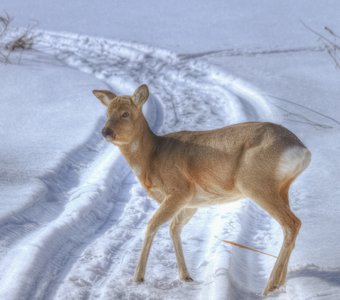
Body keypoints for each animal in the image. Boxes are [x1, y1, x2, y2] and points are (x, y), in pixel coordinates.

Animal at [93, 83, 310, 294]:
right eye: (107, 113)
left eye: (125, 113)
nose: (105, 132)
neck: (152, 158)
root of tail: (303, 151)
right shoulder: (191, 203)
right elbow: (174, 228)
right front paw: (185, 276)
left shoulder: (179, 190)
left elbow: (152, 225)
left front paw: (137, 277)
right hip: (281, 188)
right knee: (291, 226)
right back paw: (280, 284)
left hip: (256, 184)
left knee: (292, 223)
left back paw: (269, 287)